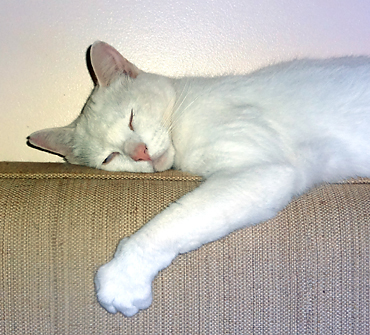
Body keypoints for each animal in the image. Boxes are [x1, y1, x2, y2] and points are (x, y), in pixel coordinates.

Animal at [27, 41, 370, 318]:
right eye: (109, 157)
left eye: (131, 118)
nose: (140, 152)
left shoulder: (262, 170)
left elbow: (169, 223)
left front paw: (123, 275)